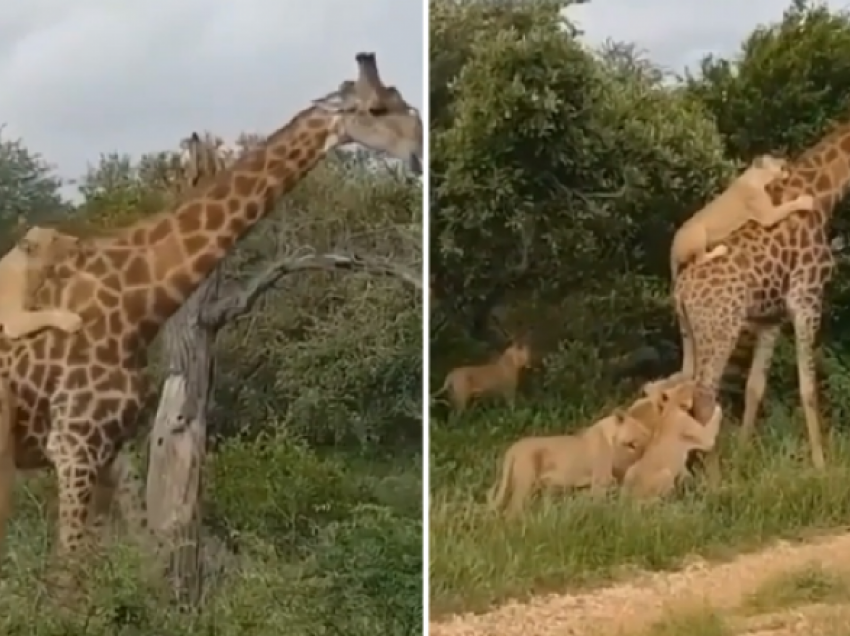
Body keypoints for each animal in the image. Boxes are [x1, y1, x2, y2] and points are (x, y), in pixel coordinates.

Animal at [1, 51, 420, 576]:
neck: (136, 306)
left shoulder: (112, 453)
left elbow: (137, 561)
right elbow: (69, 574)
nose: (417, 153)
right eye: (376, 108)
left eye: (400, 97)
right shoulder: (74, 448)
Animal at [668, 154, 808, 278]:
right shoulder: (768, 216)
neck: (756, 178)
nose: (784, 159)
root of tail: (672, 251)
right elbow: (788, 206)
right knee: (699, 260)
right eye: (774, 159)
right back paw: (720, 250)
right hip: (697, 232)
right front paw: (806, 201)